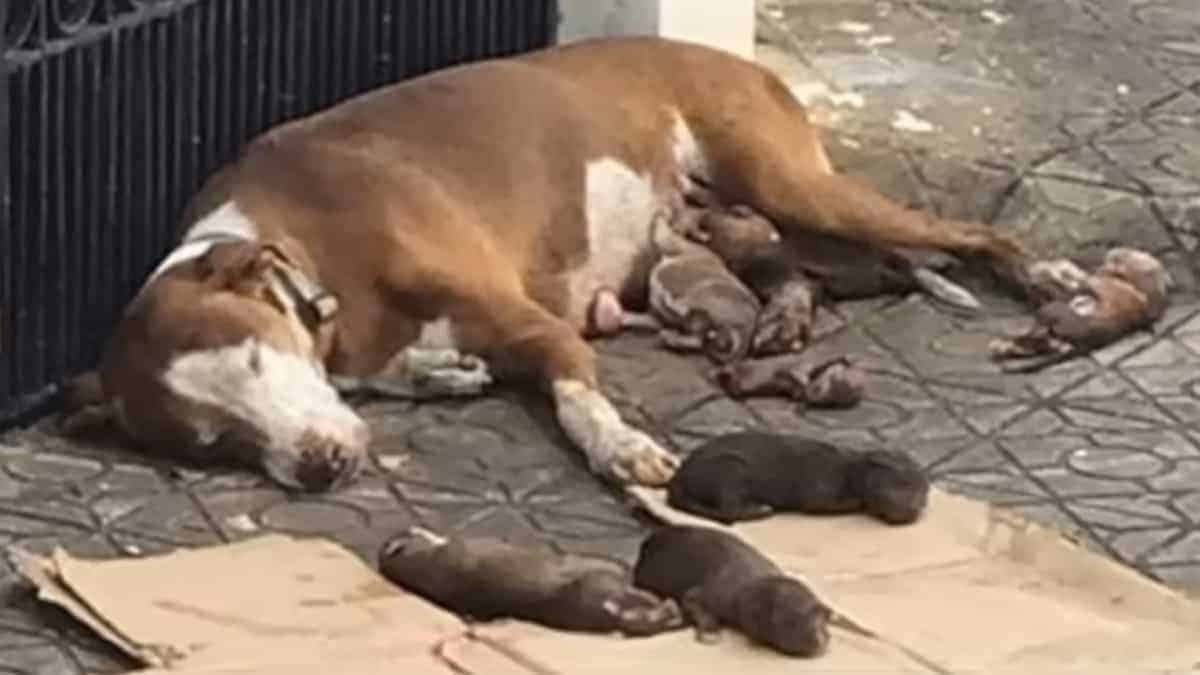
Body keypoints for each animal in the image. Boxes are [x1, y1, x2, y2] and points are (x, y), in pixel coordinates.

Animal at [77, 36, 1032, 487]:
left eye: (255, 359)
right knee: (828, 266)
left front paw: (621, 448)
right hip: (779, 223)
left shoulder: (534, 324)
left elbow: (576, 397)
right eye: (213, 444)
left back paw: (1045, 284)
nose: (320, 466)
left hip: (794, 182)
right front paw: (440, 374)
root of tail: (737, 60)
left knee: (973, 236)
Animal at [667, 429, 926, 526]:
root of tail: (678, 478)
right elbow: (832, 503)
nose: (913, 509)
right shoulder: (820, 489)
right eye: (900, 485)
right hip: (730, 469)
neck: (849, 470)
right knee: (729, 509)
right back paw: (759, 509)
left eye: (923, 496)